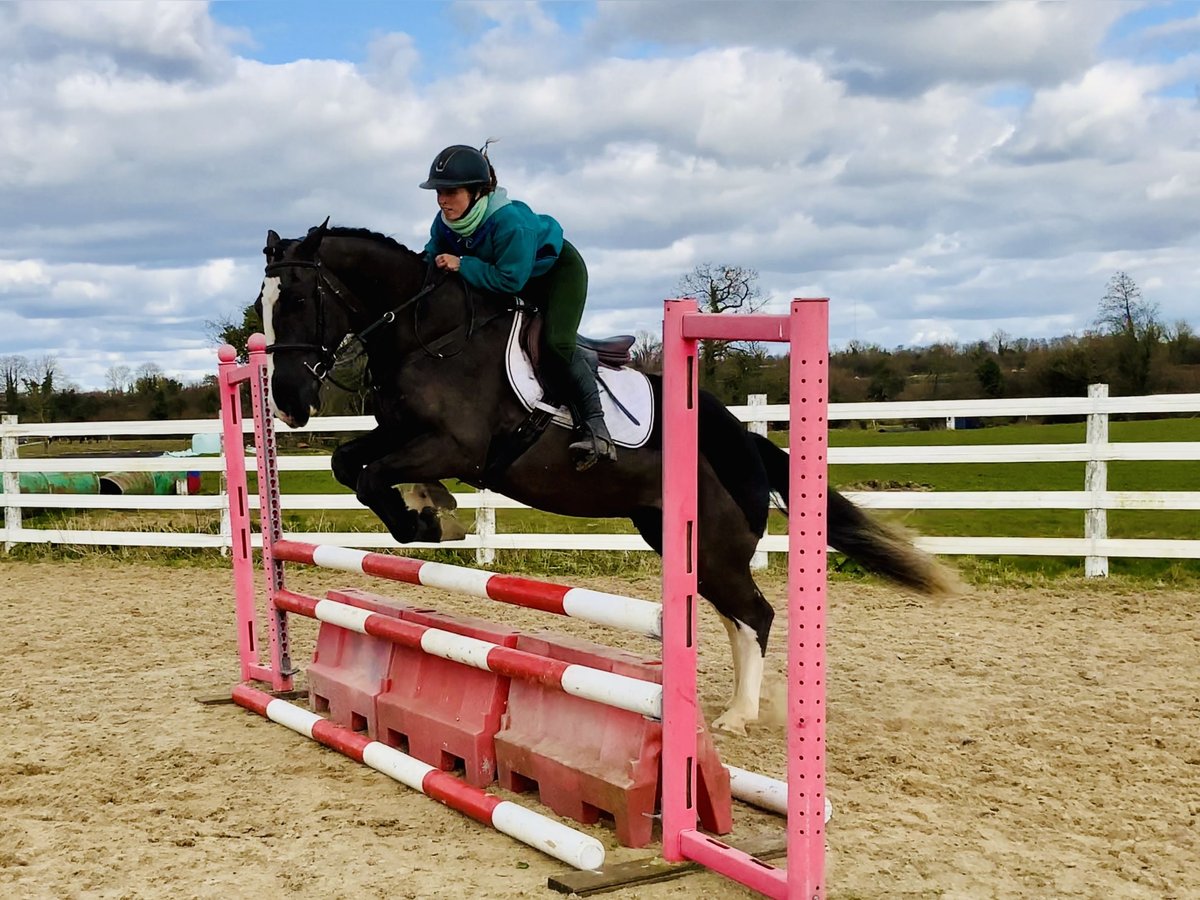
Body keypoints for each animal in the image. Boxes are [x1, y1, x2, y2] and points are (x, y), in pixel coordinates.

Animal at [258, 222, 960, 734]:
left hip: (712, 543)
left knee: (755, 614)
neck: (430, 334)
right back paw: (735, 707)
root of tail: (746, 441)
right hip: (679, 539)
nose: (287, 402)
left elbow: (373, 475)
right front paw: (432, 511)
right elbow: (348, 463)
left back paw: (737, 717)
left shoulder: (453, 445)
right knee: (735, 615)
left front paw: (429, 520)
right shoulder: (402, 433)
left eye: (298, 300)